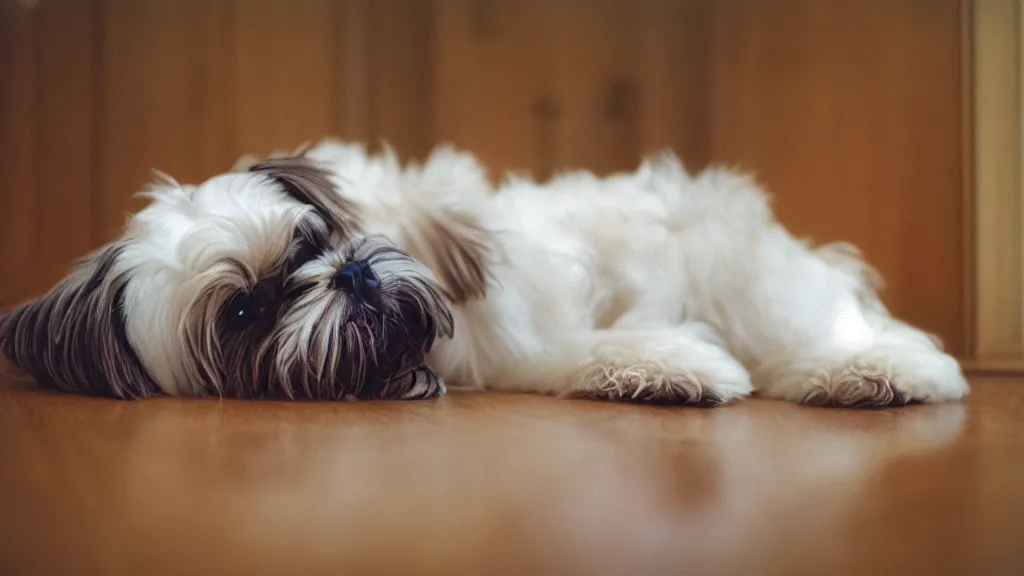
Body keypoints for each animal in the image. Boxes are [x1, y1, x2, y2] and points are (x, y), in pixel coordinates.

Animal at [0, 139, 970, 405]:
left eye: (315, 243)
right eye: (243, 312)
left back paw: (873, 370)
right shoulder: (526, 349)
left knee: (822, 329)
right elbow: (588, 349)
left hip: (745, 266)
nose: (351, 276)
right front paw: (671, 367)